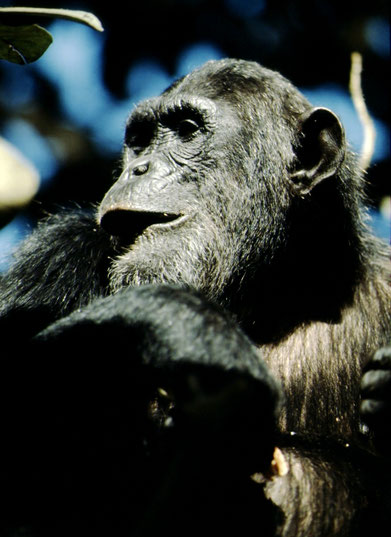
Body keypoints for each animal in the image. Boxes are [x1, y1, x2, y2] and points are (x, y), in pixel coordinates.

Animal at [0, 58, 391, 536]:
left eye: (187, 129)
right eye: (139, 141)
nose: (139, 168)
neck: (275, 298)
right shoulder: (56, 257)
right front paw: (194, 329)